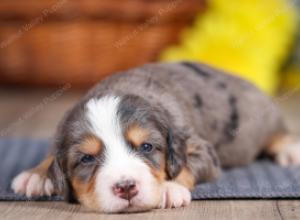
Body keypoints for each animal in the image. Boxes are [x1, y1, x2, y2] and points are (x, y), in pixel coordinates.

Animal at [11, 62, 300, 213]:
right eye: (86, 159)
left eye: (147, 147)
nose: (126, 187)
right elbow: (51, 152)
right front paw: (37, 175)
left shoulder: (201, 149)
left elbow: (186, 165)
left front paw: (169, 189)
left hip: (264, 120)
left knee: (279, 133)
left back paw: (290, 150)